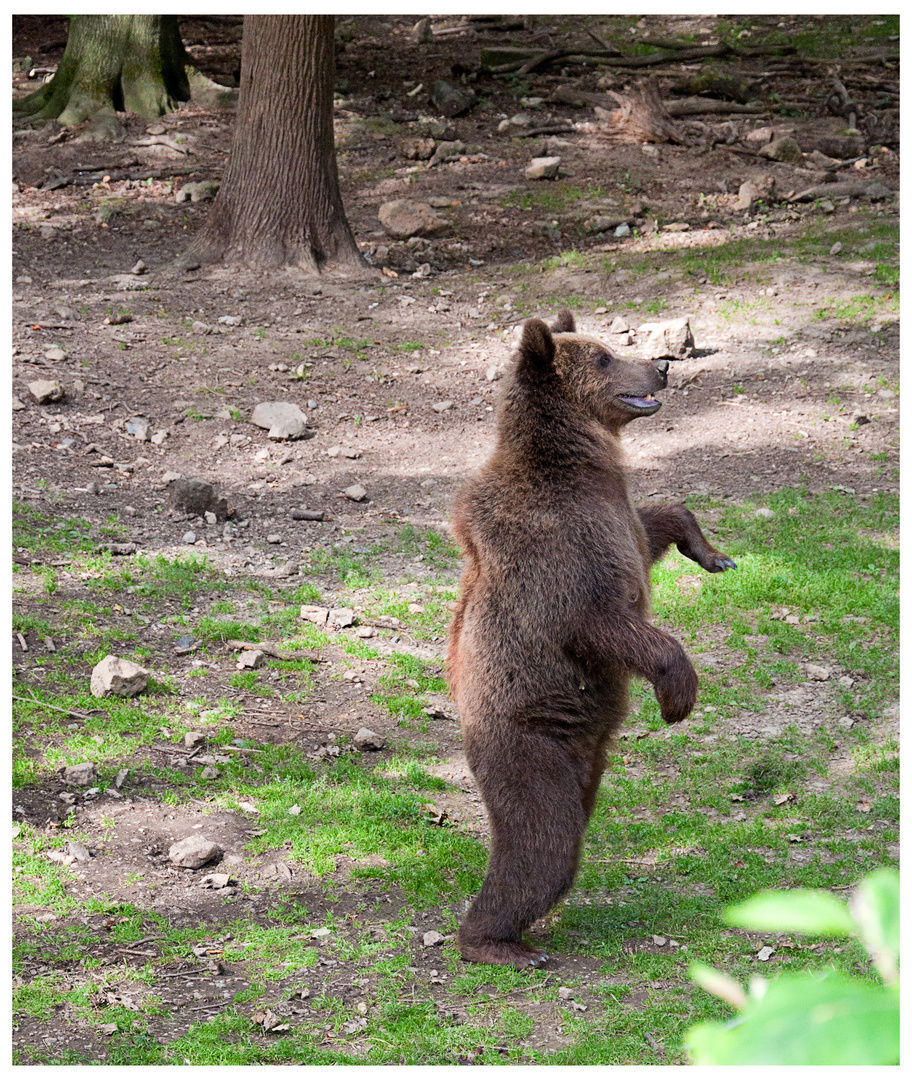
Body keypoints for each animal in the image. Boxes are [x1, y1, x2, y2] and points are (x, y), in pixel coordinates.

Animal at [445, 308, 739, 967]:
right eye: (605, 357)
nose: (661, 367)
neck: (578, 462)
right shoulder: (559, 554)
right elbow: (604, 622)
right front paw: (678, 696)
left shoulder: (615, 519)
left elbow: (655, 526)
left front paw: (712, 553)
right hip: (527, 740)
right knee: (543, 840)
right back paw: (498, 942)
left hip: (585, 759)